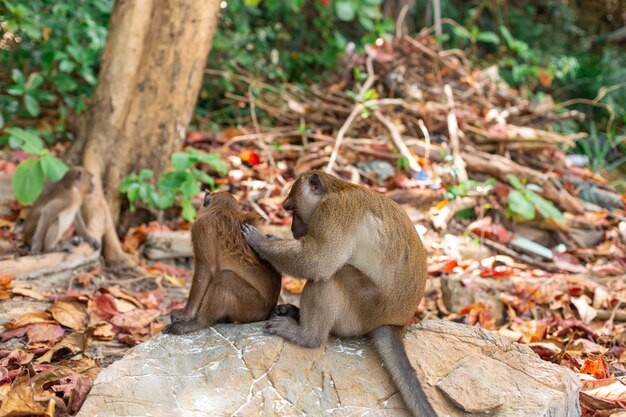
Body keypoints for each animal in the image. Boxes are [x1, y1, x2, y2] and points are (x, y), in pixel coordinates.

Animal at [162, 190, 280, 334]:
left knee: (224, 278)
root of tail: (268, 310)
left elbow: (205, 269)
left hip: (254, 306)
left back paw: (199, 322)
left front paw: (186, 314)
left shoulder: (201, 226)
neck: (223, 210)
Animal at [241, 170, 436, 416]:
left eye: (292, 210)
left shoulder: (333, 211)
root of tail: (395, 323)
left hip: (362, 312)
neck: (339, 189)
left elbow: (317, 260)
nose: (293, 229)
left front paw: (260, 243)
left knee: (331, 277)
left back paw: (307, 336)